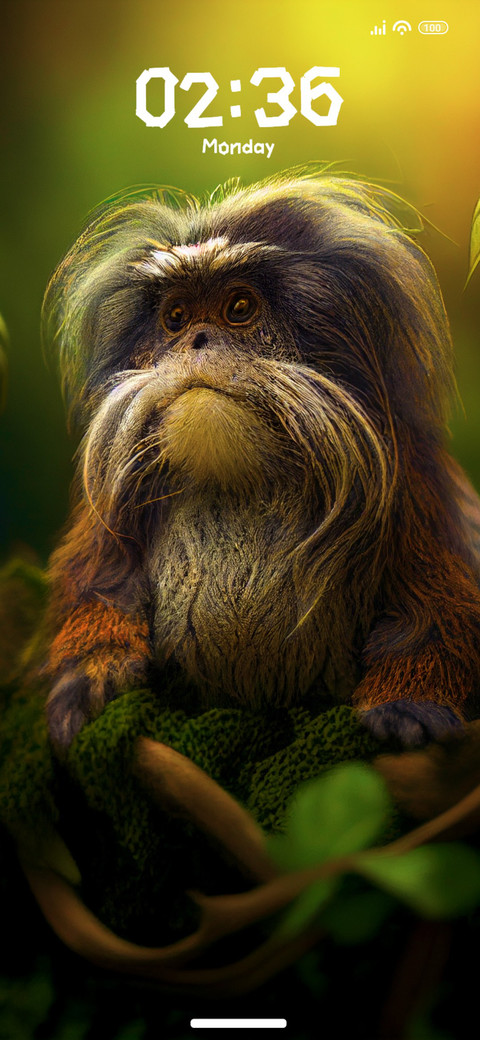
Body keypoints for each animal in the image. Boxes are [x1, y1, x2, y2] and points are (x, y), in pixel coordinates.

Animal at [40, 171, 480, 750]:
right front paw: (93, 669)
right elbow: (104, 587)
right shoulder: (108, 512)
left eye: (239, 308)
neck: (239, 481)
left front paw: (409, 701)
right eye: (175, 318)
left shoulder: (412, 484)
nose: (198, 340)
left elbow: (432, 616)